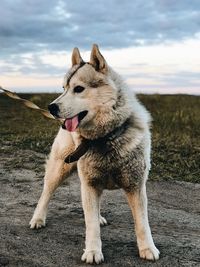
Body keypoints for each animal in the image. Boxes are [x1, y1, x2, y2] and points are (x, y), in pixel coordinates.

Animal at [29, 45, 159, 264]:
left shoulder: (135, 186)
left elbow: (142, 223)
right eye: (63, 88)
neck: (107, 137)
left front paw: (147, 248)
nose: (51, 107)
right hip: (59, 169)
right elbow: (91, 226)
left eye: (78, 89)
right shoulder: (90, 184)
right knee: (46, 193)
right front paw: (92, 251)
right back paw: (38, 218)